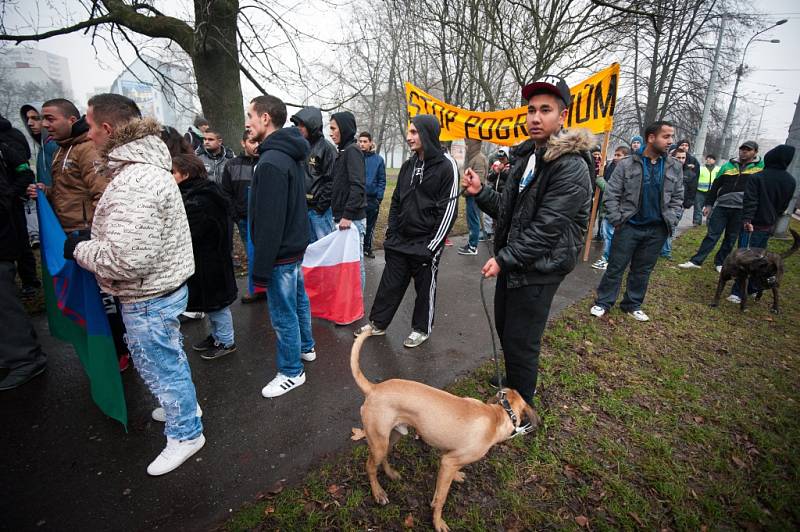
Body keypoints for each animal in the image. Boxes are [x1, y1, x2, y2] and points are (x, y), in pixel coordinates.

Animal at [350, 330, 536, 528]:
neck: (498, 415)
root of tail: (373, 388)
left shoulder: (447, 457)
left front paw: (456, 477)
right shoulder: (449, 462)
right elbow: (440, 498)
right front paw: (437, 521)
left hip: (391, 437)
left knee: (383, 458)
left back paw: (391, 474)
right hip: (378, 442)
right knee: (370, 466)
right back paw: (378, 493)